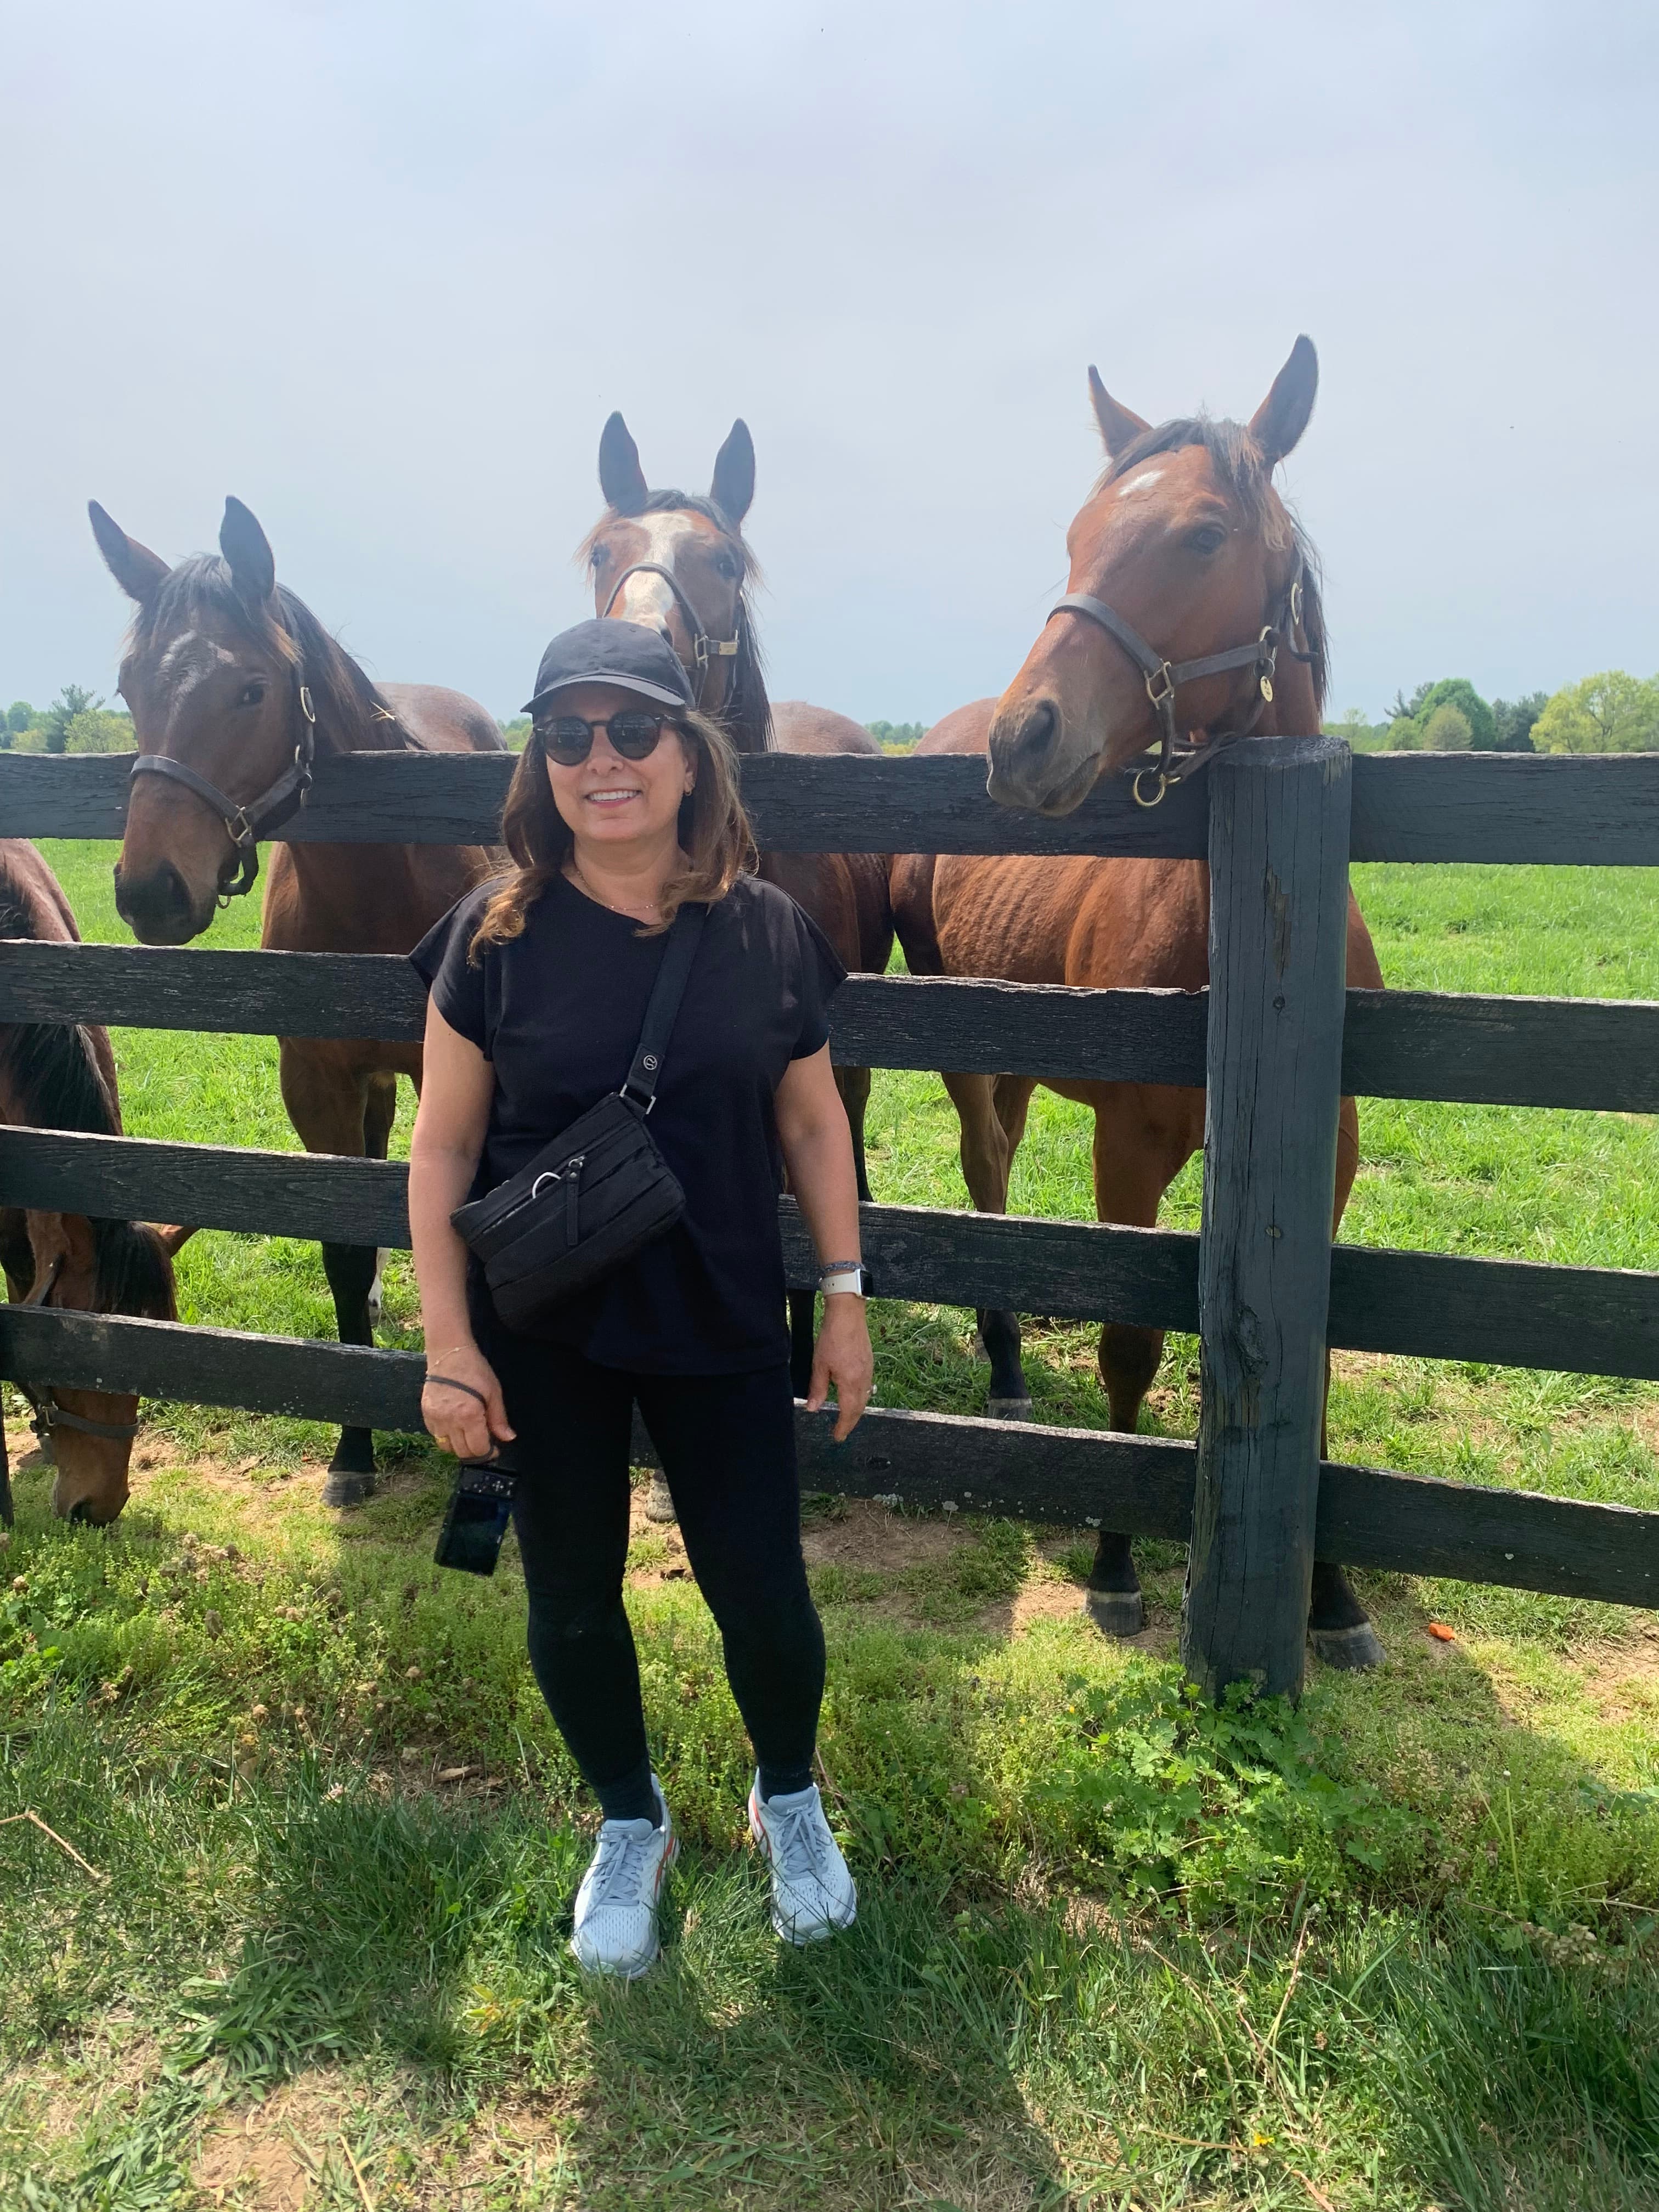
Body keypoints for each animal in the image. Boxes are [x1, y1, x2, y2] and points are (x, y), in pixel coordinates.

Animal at [89, 497, 504, 1505]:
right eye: (129, 686)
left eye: (250, 690)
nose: (150, 890)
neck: (376, 884)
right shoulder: (315, 1078)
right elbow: (342, 1245)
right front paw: (353, 1448)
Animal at [890, 338, 1387, 1670]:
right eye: (1074, 535)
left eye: (1202, 536)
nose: (1025, 738)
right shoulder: (1129, 1150)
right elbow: (1126, 1348)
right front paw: (1114, 1562)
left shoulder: (1321, 1169)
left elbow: (1315, 1364)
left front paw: (1332, 1595)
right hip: (963, 1046)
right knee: (988, 1173)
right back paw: (1007, 1365)